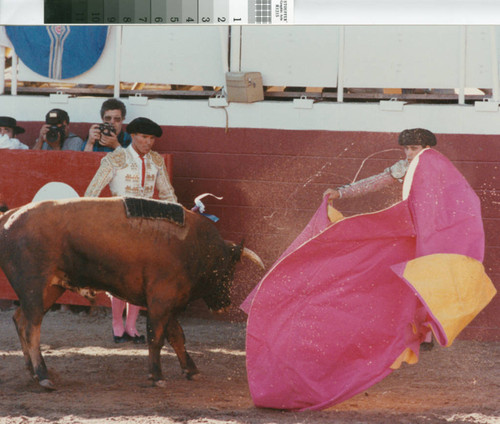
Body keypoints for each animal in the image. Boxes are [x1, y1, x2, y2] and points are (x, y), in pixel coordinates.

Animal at [0, 197, 266, 390]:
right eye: (227, 270)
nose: (225, 303)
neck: (195, 247)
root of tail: (9, 215)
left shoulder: (169, 303)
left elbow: (177, 336)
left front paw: (191, 370)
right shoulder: (161, 299)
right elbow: (156, 337)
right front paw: (156, 376)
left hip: (50, 290)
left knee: (20, 319)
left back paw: (32, 372)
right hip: (34, 287)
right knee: (31, 328)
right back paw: (43, 375)